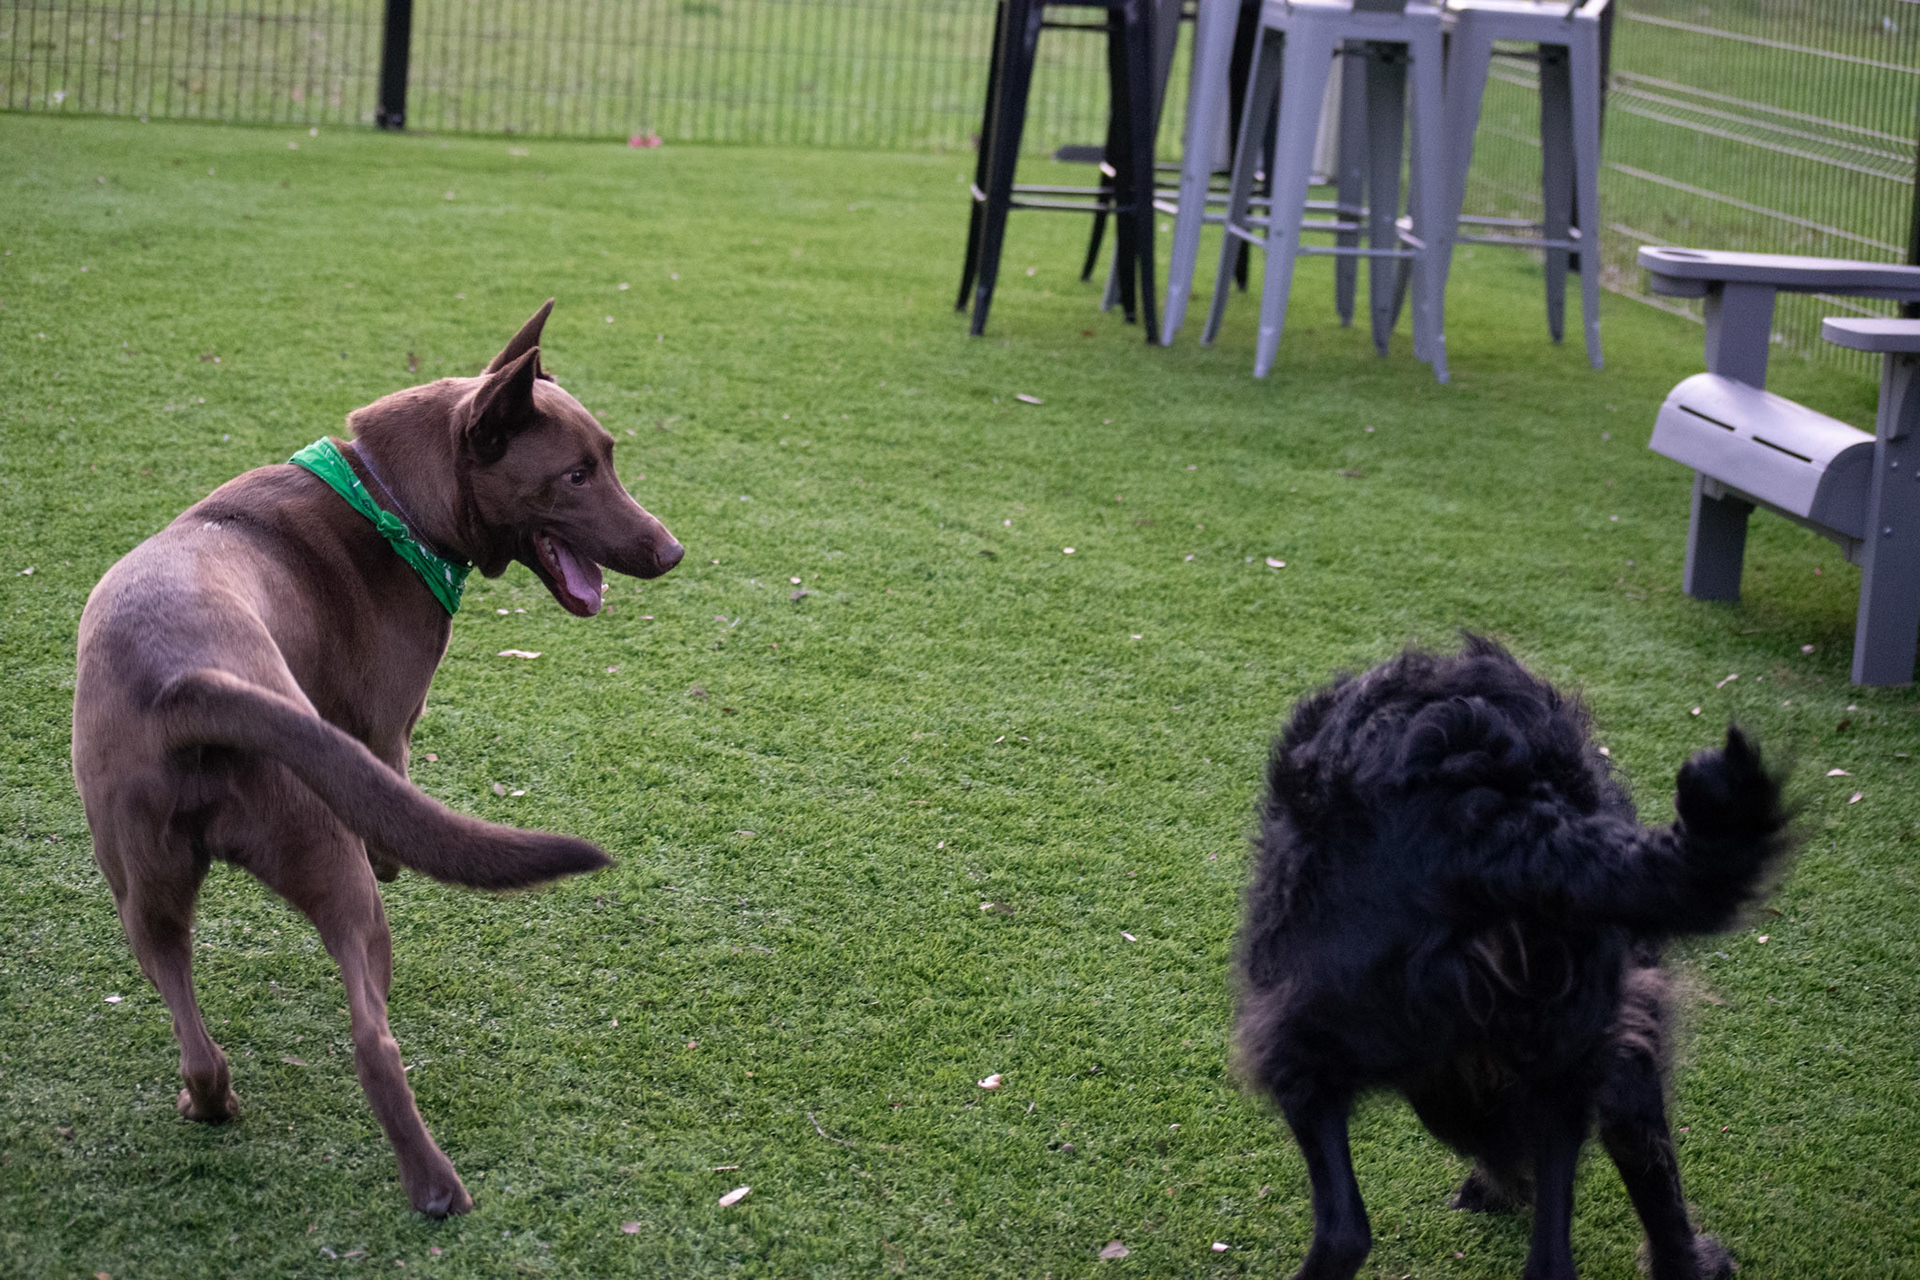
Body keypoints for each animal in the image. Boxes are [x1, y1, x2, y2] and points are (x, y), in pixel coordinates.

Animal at [72, 300, 682, 1215]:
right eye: (576, 475)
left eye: (607, 457)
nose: (671, 550)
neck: (389, 501)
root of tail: (190, 684)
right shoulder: (388, 748)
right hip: (334, 862)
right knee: (374, 1038)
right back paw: (436, 1188)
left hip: (143, 889)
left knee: (196, 1034)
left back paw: (210, 1104)